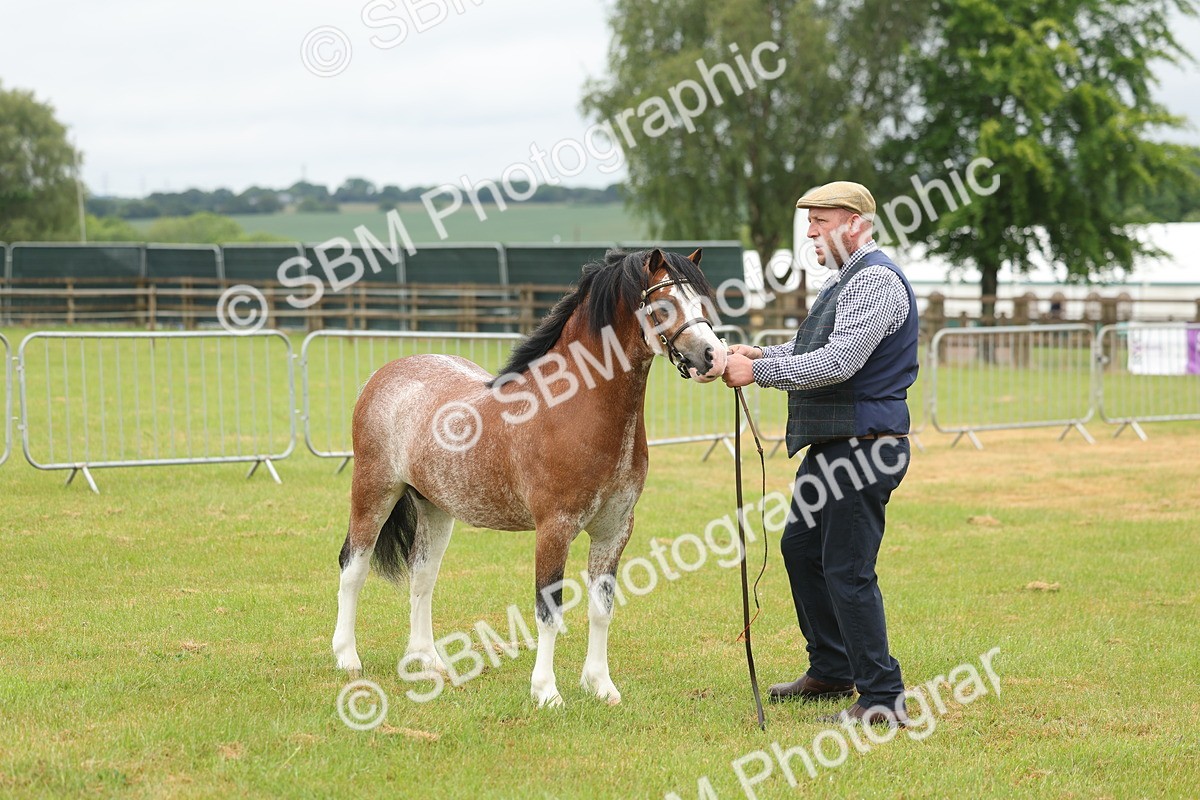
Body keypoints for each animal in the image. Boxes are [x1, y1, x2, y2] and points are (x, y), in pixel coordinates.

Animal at [331, 247, 728, 707]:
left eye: (701, 302)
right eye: (664, 307)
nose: (713, 358)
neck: (574, 408)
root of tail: (384, 375)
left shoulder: (614, 530)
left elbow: (602, 609)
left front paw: (601, 685)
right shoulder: (554, 529)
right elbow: (548, 612)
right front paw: (547, 692)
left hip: (435, 508)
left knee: (422, 576)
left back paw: (427, 660)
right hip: (373, 491)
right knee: (353, 567)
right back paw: (347, 658)